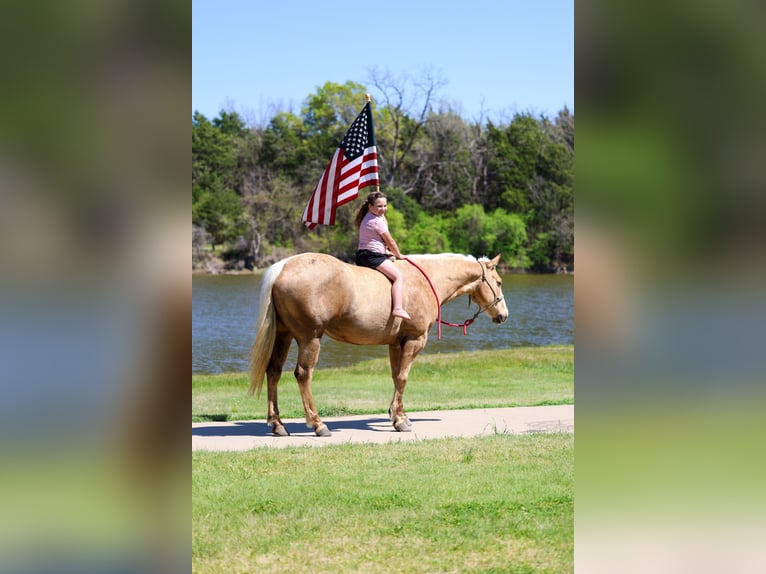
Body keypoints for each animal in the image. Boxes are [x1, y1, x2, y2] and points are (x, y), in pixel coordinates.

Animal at [248, 253, 509, 436]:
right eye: (498, 282)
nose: (503, 315)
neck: (424, 280)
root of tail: (283, 268)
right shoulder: (414, 340)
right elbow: (403, 377)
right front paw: (400, 421)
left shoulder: (396, 344)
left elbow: (395, 377)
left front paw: (397, 414)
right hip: (309, 338)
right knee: (303, 374)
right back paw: (317, 424)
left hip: (283, 335)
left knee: (273, 372)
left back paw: (277, 424)